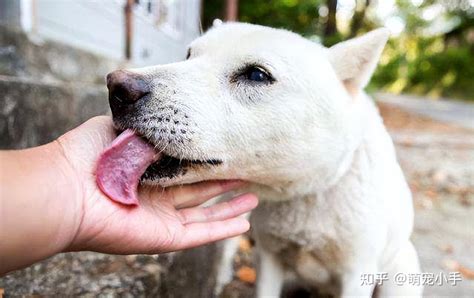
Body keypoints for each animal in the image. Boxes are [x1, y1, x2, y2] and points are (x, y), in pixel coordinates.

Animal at [107, 22, 422, 296]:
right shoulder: (269, 259)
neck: (306, 194)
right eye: (188, 55)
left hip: (400, 275)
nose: (116, 88)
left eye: (257, 75)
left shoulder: (357, 274)